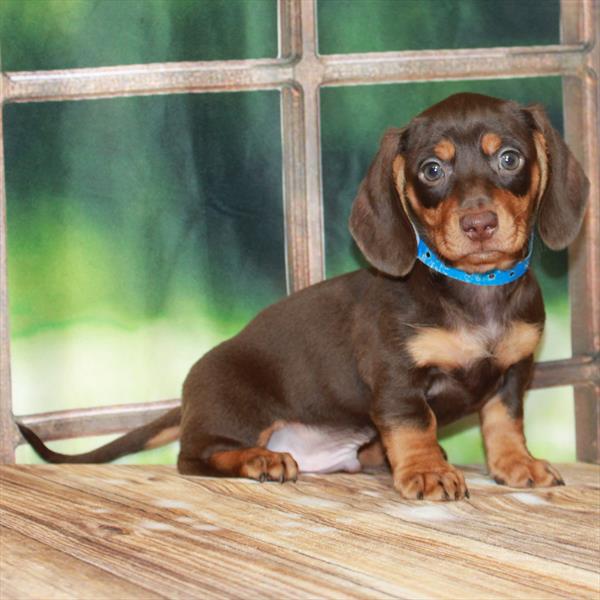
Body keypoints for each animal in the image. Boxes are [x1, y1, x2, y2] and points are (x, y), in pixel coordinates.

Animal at [19, 94, 592, 500]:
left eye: (510, 158)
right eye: (433, 169)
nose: (479, 224)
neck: (475, 291)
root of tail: (188, 399)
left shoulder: (513, 374)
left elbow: (504, 424)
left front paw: (516, 465)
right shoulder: (397, 379)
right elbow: (415, 426)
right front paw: (428, 471)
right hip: (237, 412)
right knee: (194, 457)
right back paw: (259, 460)